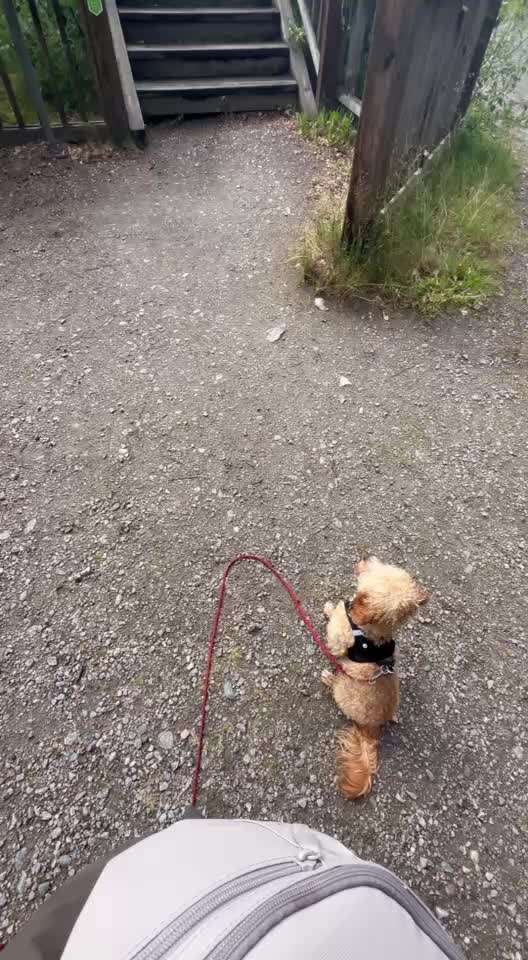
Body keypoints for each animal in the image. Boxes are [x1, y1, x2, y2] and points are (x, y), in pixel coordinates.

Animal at [322, 560, 428, 800]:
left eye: (371, 571)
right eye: (383, 565)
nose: (364, 559)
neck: (371, 634)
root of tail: (371, 729)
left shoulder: (340, 637)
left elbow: (336, 622)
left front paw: (331, 609)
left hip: (343, 690)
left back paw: (328, 678)